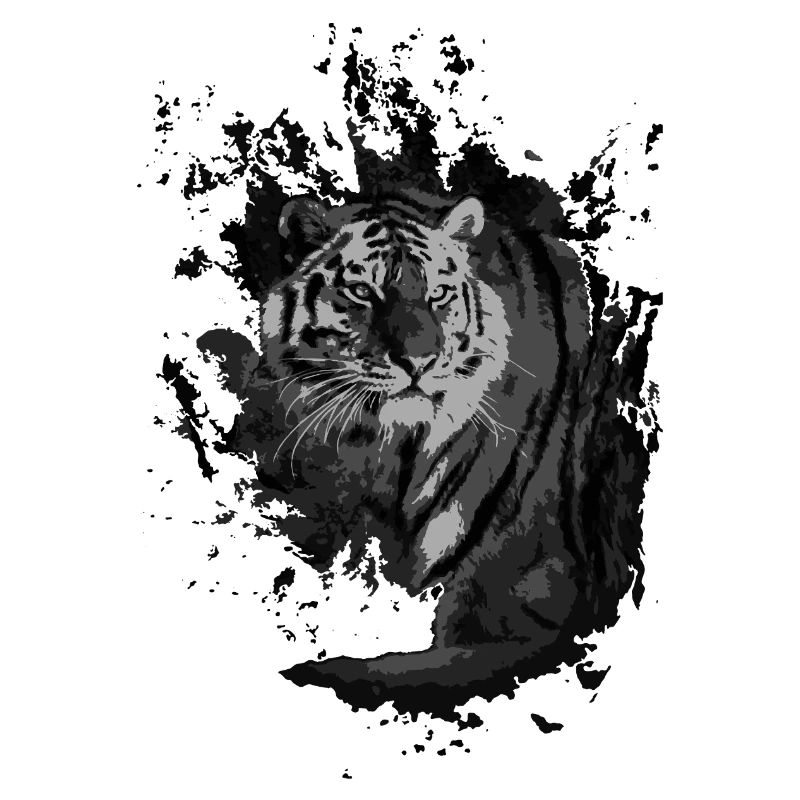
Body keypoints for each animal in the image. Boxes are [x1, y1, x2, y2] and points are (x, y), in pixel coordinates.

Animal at [221, 187, 651, 714]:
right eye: (362, 292)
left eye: (438, 294)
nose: (418, 361)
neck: (394, 454)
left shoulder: (536, 610)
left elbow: (396, 672)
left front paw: (319, 674)